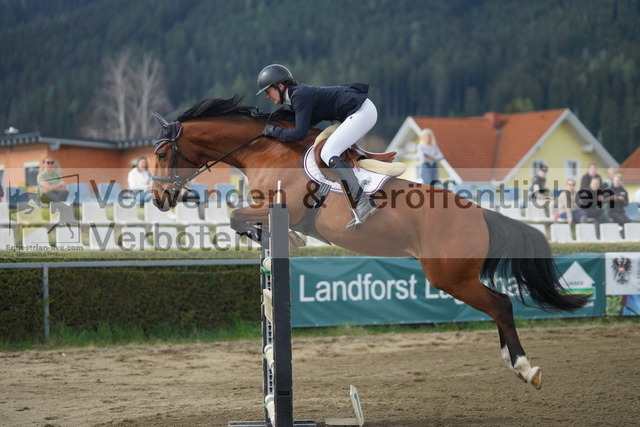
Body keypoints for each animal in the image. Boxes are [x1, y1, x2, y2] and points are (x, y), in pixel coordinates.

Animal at [151, 96, 592, 392]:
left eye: (162, 154)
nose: (158, 200)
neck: (266, 149)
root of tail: (479, 212)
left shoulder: (280, 207)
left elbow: (237, 217)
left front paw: (284, 237)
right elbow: (238, 218)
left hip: (449, 276)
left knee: (500, 305)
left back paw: (525, 368)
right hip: (455, 276)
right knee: (499, 306)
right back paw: (513, 362)